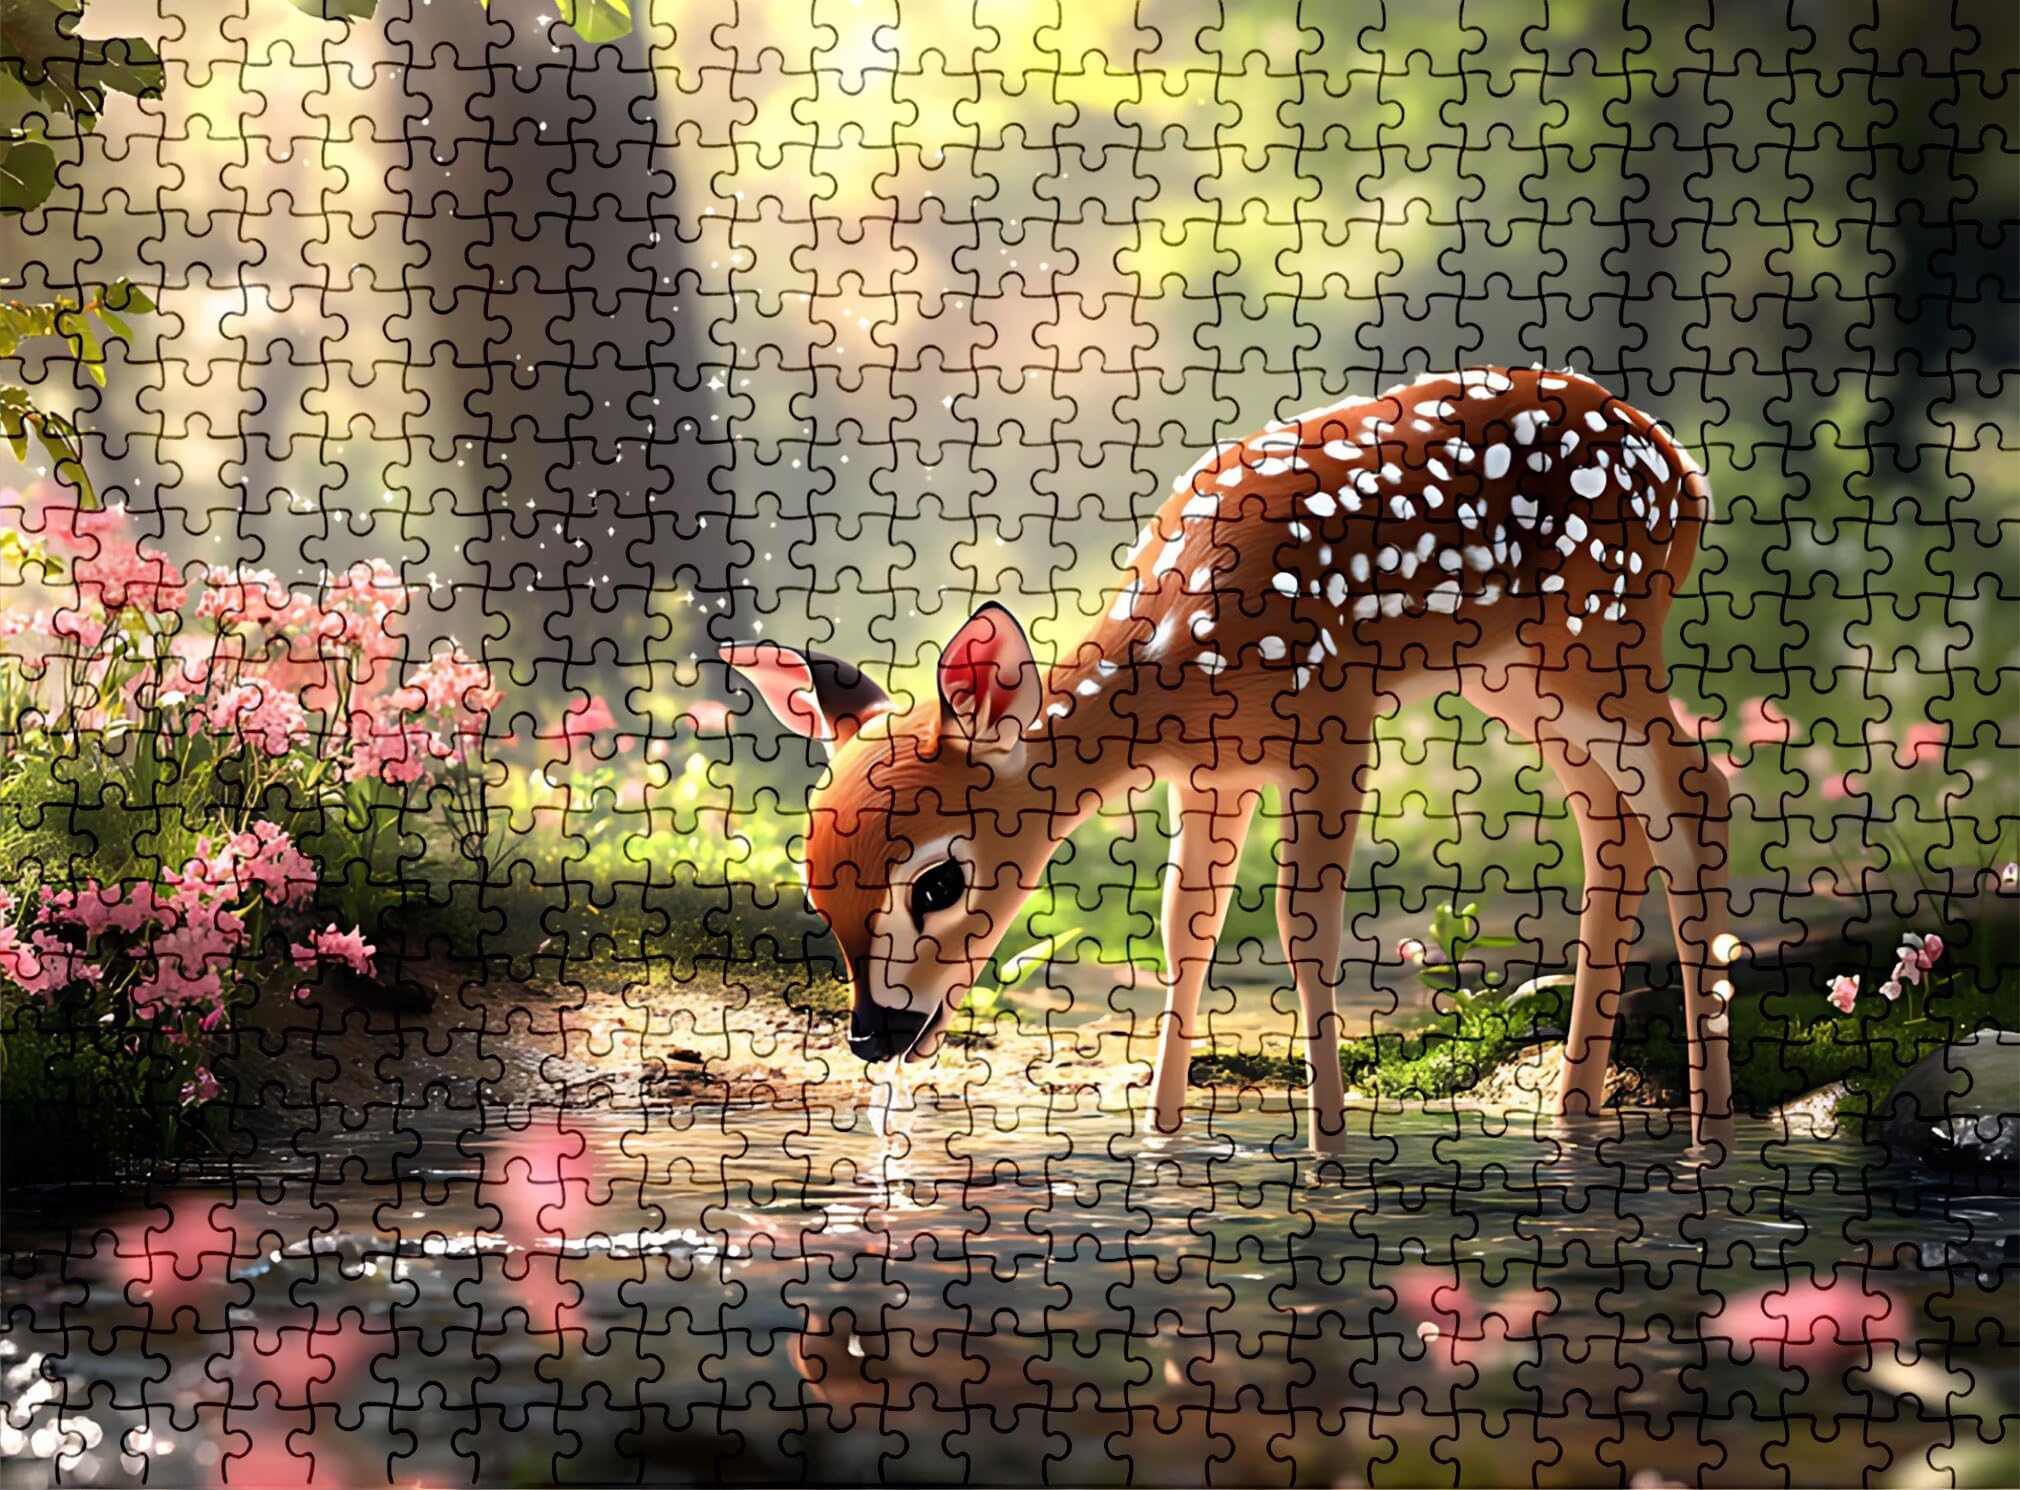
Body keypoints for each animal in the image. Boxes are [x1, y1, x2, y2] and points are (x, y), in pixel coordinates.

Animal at [722, 366, 1736, 1148]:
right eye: (813, 883)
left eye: (936, 883)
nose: (871, 1039)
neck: (1180, 654)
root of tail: (1684, 473)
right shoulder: (1214, 770)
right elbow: (1187, 928)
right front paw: (1160, 1138)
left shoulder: (1332, 711)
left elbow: (1306, 928)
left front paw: (1330, 1152)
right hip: (1516, 673)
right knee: (1613, 823)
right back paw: (1575, 1112)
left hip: (1599, 634)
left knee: (1697, 790)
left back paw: (1710, 1131)